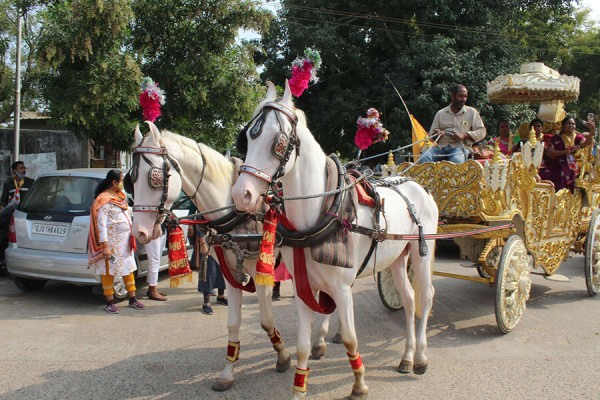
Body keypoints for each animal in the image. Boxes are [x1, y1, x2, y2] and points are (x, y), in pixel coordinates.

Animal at [129, 122, 292, 390]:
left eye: (154, 177)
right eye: (130, 178)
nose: (139, 232)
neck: (235, 211)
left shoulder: (259, 270)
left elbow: (266, 320)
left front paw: (283, 355)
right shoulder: (230, 272)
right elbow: (233, 323)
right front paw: (228, 372)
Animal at [232, 81, 438, 400]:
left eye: (278, 142)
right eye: (245, 140)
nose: (241, 195)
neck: (321, 213)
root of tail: (418, 185)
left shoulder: (341, 287)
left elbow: (352, 339)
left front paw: (360, 384)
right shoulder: (303, 285)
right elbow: (302, 346)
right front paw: (299, 388)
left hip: (421, 250)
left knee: (425, 297)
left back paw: (420, 358)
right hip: (396, 257)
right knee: (407, 298)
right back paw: (406, 356)